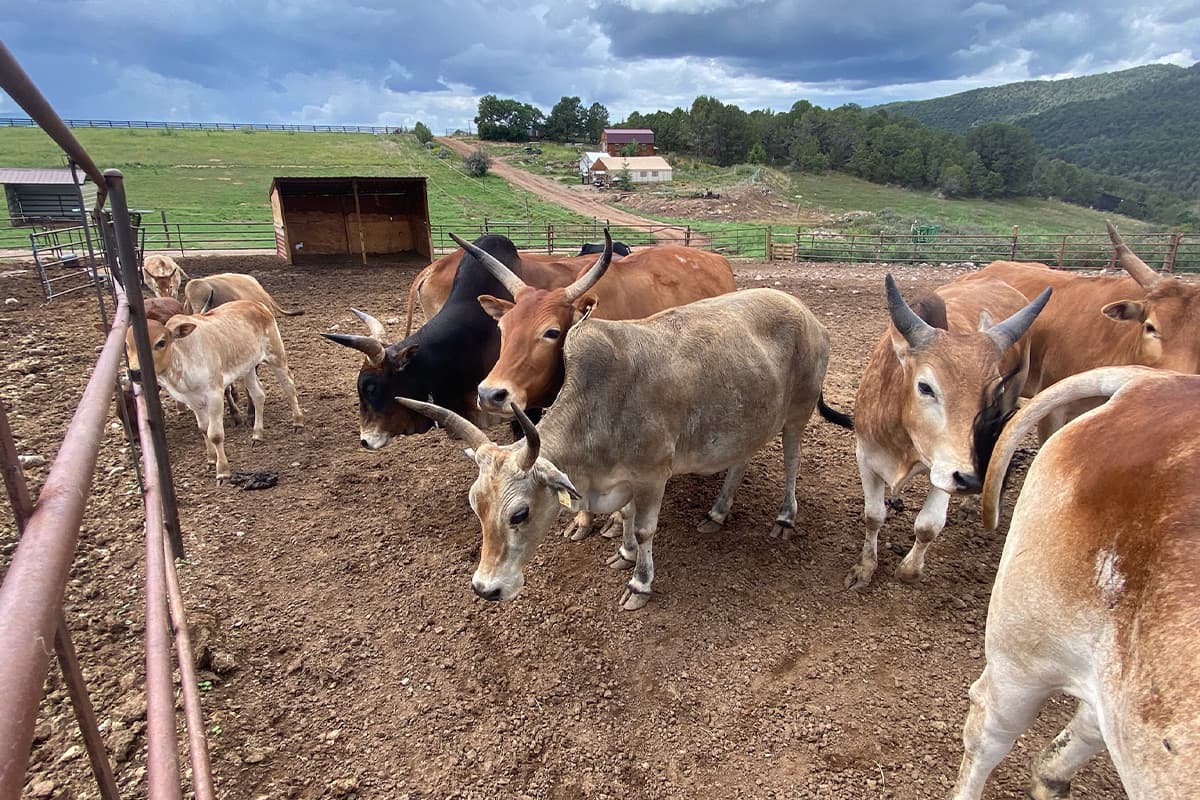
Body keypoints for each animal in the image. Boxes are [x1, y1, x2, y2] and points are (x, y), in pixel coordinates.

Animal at [125, 300, 304, 483]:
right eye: (127, 345)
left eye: (161, 342)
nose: (135, 372)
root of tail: (256, 303)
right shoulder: (192, 400)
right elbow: (204, 428)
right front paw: (211, 459)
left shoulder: (214, 394)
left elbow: (215, 434)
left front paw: (223, 470)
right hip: (247, 368)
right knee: (258, 395)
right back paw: (257, 434)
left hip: (276, 355)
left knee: (288, 386)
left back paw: (297, 421)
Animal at [398, 287, 849, 611]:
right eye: (476, 506)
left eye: (520, 513)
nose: (485, 588)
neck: (600, 405)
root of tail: (806, 313)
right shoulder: (624, 478)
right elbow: (628, 517)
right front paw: (625, 552)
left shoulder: (652, 474)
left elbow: (646, 527)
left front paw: (640, 582)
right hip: (748, 420)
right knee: (740, 461)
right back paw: (717, 512)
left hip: (798, 412)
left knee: (792, 460)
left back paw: (785, 518)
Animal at [844, 275, 1051, 590]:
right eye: (925, 386)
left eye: (995, 391)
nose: (971, 479)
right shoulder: (866, 456)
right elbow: (874, 516)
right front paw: (864, 568)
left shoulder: (945, 471)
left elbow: (928, 525)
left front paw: (909, 571)